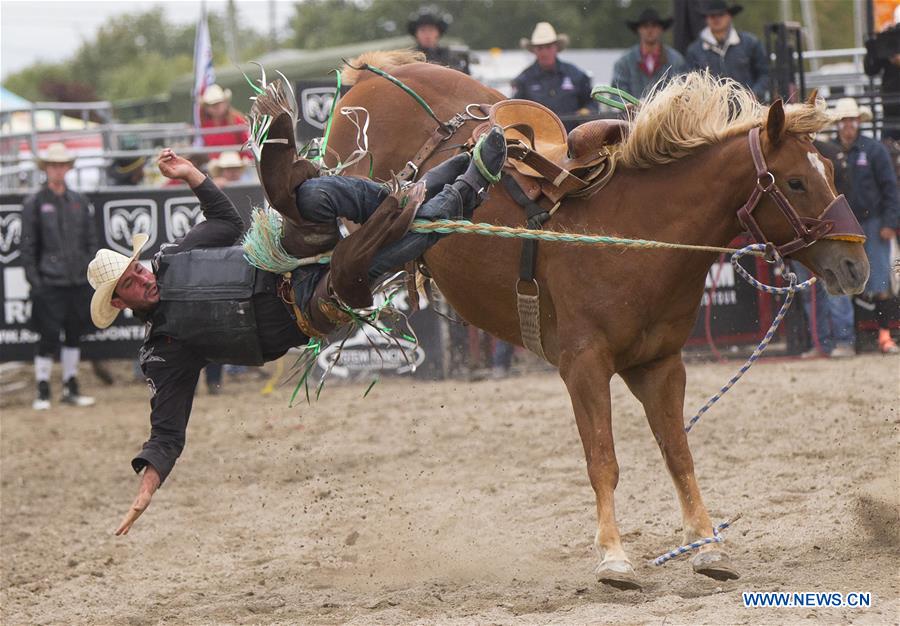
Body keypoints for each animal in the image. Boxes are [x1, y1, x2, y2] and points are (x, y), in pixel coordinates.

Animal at [322, 52, 864, 584]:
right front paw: (614, 558)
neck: (636, 233)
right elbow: (603, 461)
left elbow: (678, 454)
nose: (857, 266)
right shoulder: (583, 364)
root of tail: (377, 72)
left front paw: (707, 545)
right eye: (795, 182)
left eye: (831, 170)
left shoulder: (660, 365)